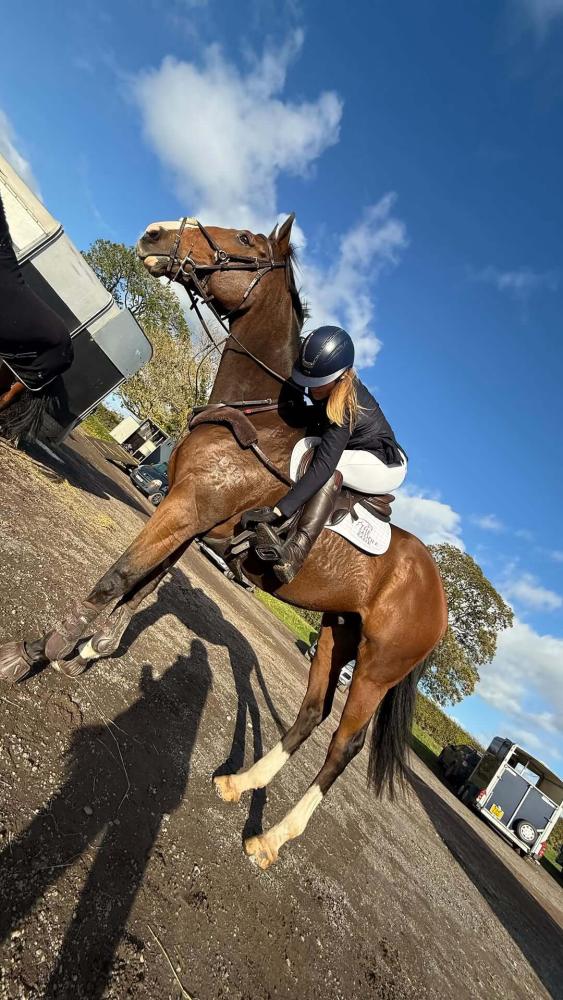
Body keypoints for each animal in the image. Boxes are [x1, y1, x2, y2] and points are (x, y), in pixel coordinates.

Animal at [0, 214, 448, 870]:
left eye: (245, 243)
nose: (155, 233)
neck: (252, 413)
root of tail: (439, 600)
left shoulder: (186, 510)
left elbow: (117, 576)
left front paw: (36, 652)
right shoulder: (188, 516)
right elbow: (144, 583)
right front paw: (92, 646)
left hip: (376, 668)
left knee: (342, 745)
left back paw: (272, 838)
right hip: (337, 635)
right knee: (310, 713)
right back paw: (241, 782)